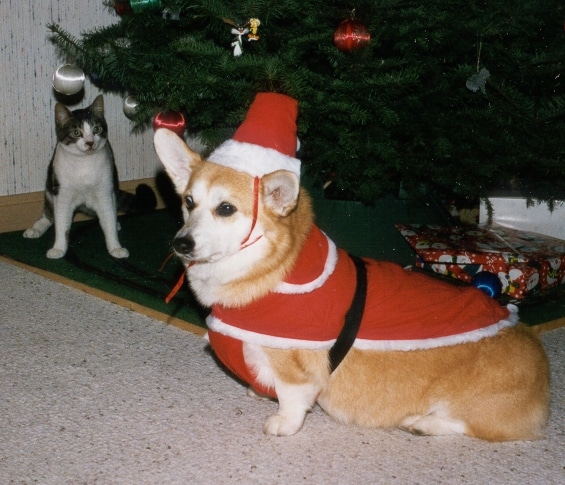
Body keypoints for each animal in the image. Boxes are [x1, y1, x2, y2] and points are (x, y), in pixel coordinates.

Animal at [23, 95, 156, 260]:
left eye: (96, 129)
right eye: (76, 132)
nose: (90, 142)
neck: (84, 164)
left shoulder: (105, 192)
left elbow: (108, 220)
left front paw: (115, 247)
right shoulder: (62, 194)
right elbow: (61, 223)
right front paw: (58, 248)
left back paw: (116, 223)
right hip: (50, 187)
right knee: (48, 214)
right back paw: (36, 229)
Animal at [152, 126, 548, 440]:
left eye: (226, 209)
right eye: (188, 202)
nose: (180, 244)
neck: (271, 267)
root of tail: (543, 376)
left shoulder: (294, 366)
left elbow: (292, 396)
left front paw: (282, 422)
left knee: (467, 424)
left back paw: (422, 423)